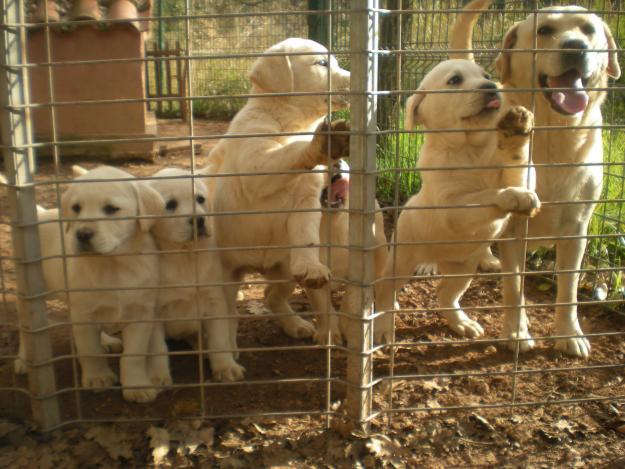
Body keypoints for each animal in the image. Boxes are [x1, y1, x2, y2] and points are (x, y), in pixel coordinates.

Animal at [205, 37, 352, 344]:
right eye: (322, 63)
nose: (355, 79)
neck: (292, 125)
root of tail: (257, 266)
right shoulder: (257, 163)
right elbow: (288, 153)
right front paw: (321, 144)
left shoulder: (307, 199)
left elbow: (307, 235)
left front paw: (312, 266)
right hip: (225, 272)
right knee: (227, 308)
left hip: (284, 267)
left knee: (271, 295)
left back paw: (296, 324)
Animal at [372, 59, 540, 344]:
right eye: (454, 80)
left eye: (486, 75)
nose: (491, 87)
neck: (470, 149)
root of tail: (438, 258)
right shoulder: (452, 207)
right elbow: (483, 196)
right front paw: (508, 196)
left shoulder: (518, 173)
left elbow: (517, 166)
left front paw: (517, 131)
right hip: (402, 260)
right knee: (385, 290)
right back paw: (383, 327)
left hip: (464, 269)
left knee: (444, 293)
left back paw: (462, 323)